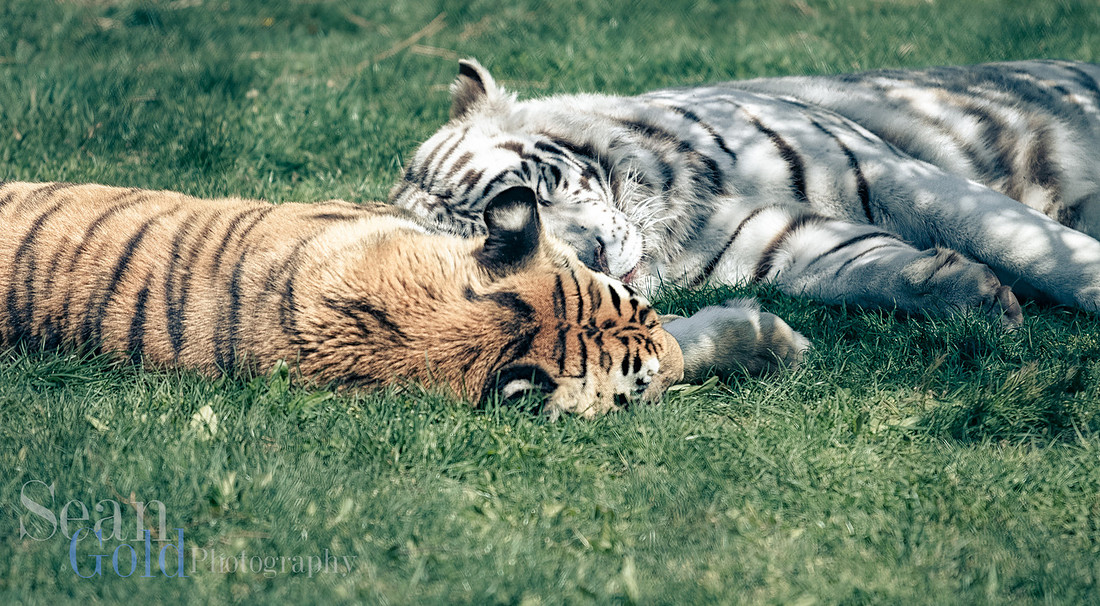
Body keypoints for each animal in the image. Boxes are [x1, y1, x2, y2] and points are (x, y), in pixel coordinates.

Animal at [391, 59, 1100, 330]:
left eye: (533, 192)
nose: (592, 259)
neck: (675, 221)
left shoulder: (890, 171)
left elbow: (1026, 245)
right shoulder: (779, 241)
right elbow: (866, 270)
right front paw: (968, 294)